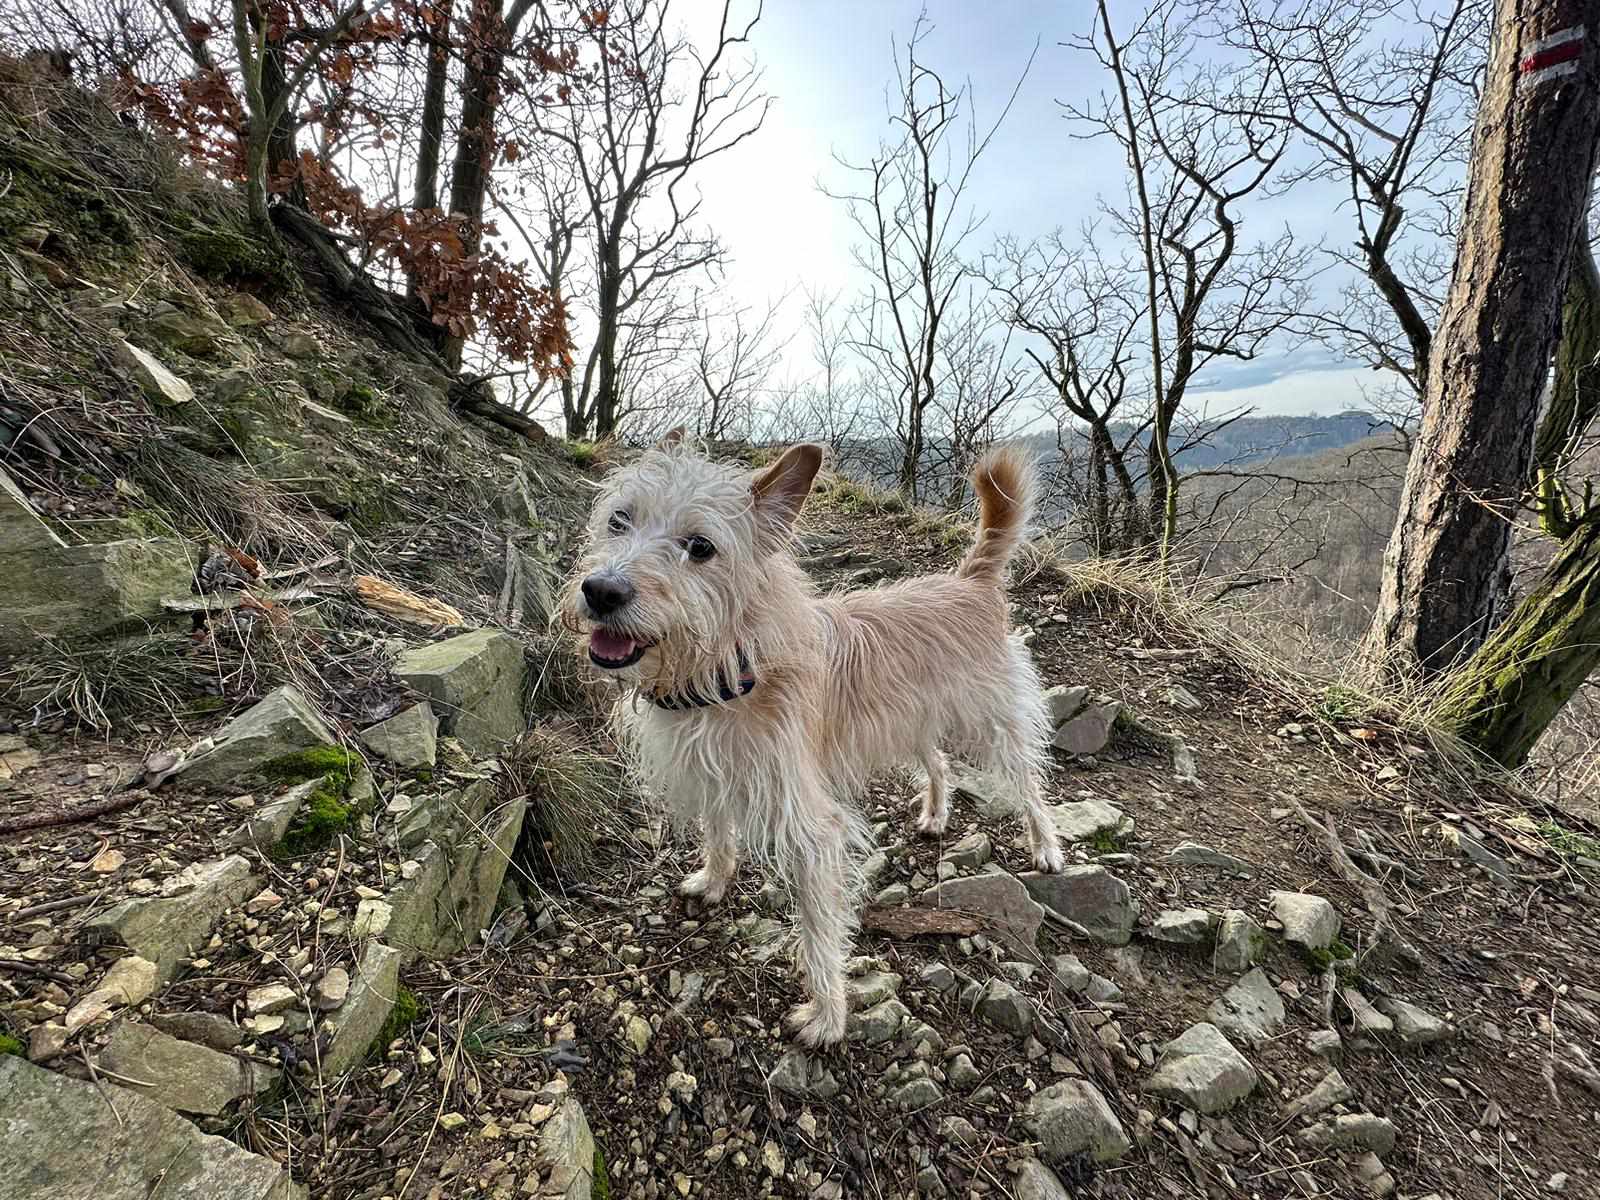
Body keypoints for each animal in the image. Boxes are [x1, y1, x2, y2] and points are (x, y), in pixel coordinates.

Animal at [561, 435, 1065, 1046]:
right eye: (619, 520)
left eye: (700, 546)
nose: (600, 590)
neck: (728, 671)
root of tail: (969, 580)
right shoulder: (713, 772)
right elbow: (718, 833)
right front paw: (714, 879)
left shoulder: (811, 827)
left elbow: (819, 928)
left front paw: (828, 1015)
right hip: (914, 721)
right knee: (939, 762)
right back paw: (935, 814)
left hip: (993, 723)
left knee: (1030, 782)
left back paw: (1045, 846)